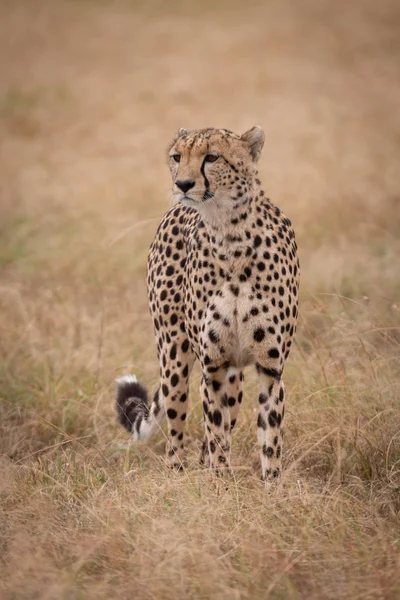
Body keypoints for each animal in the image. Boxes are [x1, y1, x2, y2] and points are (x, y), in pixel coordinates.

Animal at [115, 126, 296, 482]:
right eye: (177, 156)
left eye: (212, 157)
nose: (183, 184)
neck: (230, 236)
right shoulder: (212, 367)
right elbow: (216, 435)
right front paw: (220, 485)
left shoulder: (270, 368)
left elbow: (270, 439)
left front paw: (272, 488)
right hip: (174, 357)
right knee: (176, 429)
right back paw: (176, 472)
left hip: (235, 376)